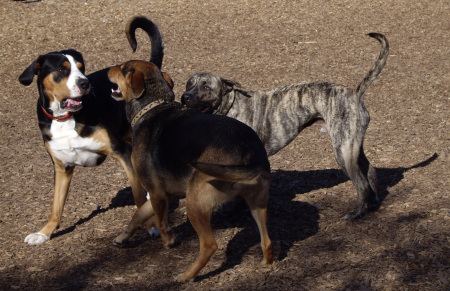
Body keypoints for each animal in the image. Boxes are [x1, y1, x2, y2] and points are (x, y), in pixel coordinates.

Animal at [19, 16, 164, 246]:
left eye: (81, 68)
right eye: (62, 69)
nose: (84, 83)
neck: (67, 118)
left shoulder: (123, 153)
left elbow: (138, 197)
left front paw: (150, 226)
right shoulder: (62, 167)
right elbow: (56, 206)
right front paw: (44, 232)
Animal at [108, 60, 274, 284]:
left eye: (123, 68)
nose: (108, 70)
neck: (153, 106)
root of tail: (250, 154)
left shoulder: (157, 194)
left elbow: (160, 221)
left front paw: (168, 241)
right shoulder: (164, 193)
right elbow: (138, 215)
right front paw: (122, 238)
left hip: (195, 202)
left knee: (210, 245)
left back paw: (187, 275)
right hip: (257, 206)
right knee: (267, 241)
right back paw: (266, 263)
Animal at [181, 33, 388, 221]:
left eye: (206, 87)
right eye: (189, 84)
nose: (185, 97)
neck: (230, 105)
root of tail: (355, 93)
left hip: (343, 152)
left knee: (362, 184)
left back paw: (356, 214)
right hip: (353, 148)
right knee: (371, 171)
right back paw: (372, 204)